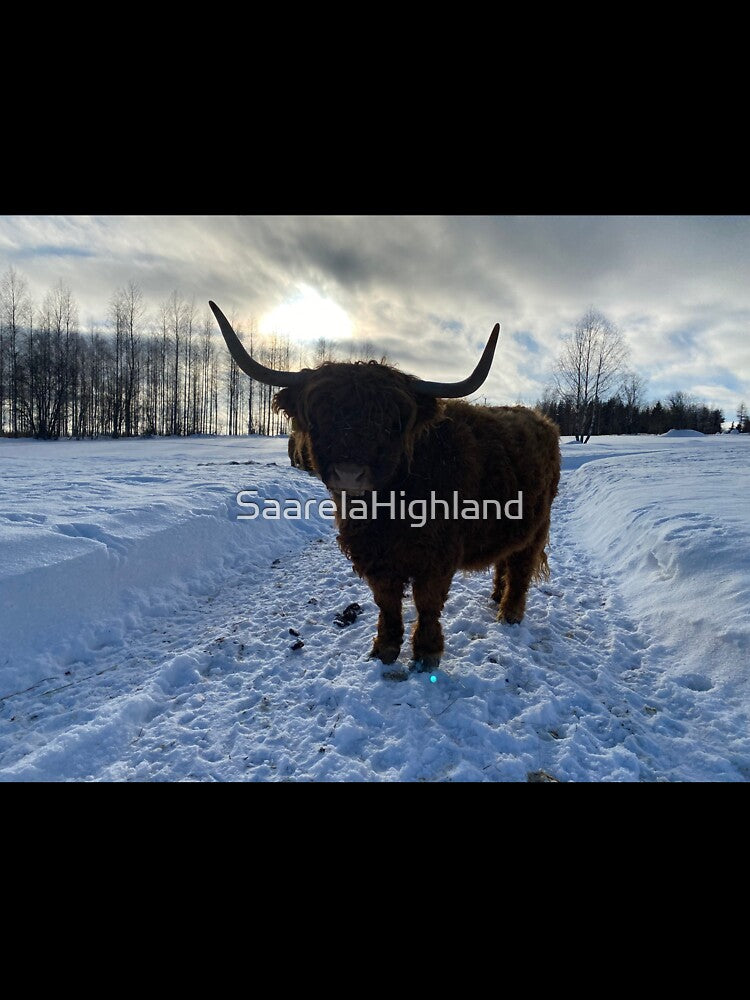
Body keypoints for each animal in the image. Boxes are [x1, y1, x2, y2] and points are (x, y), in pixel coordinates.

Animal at [210, 301, 560, 672]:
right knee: (506, 559)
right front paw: (385, 648)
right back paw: (496, 596)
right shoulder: (374, 556)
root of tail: (541, 420)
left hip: (538, 526)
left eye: (390, 422)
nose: (349, 474)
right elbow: (387, 603)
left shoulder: (436, 557)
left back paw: (509, 613)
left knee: (521, 567)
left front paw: (426, 653)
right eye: (320, 416)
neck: (387, 509)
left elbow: (427, 602)